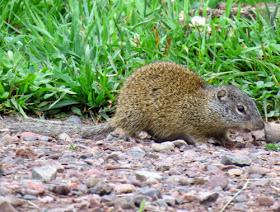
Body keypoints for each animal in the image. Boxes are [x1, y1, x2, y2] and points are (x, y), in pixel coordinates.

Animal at [0, 61, 262, 144]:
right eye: (241, 109)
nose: (260, 126)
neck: (206, 107)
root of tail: (120, 112)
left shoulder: (219, 128)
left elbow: (224, 136)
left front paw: (231, 142)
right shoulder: (190, 124)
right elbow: (196, 137)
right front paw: (205, 145)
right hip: (137, 117)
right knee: (126, 129)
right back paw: (131, 136)